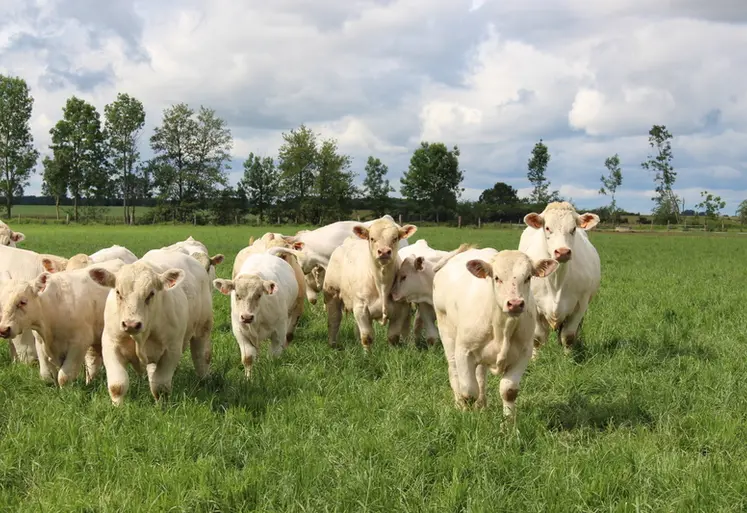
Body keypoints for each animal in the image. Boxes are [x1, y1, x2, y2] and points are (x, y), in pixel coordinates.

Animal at [88, 250, 214, 405]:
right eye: (118, 292)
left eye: (151, 294)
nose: (131, 324)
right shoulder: (111, 345)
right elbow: (117, 385)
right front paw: (117, 406)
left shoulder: (172, 350)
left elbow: (160, 386)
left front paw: (162, 406)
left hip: (203, 328)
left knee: (202, 356)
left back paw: (204, 380)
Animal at [323, 218, 417, 351]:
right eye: (372, 238)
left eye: (395, 238)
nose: (384, 252)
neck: (382, 284)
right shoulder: (361, 308)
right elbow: (367, 337)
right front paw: (367, 354)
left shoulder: (401, 309)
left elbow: (393, 337)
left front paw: (393, 352)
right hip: (332, 294)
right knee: (334, 320)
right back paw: (333, 345)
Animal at [432, 248, 558, 416]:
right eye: (497, 278)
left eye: (528, 277)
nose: (515, 304)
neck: (502, 328)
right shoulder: (464, 351)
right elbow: (469, 391)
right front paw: (467, 415)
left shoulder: (524, 353)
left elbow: (508, 391)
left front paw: (509, 421)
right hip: (446, 331)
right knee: (453, 370)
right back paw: (459, 404)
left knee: (480, 374)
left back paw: (482, 404)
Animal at [518, 201, 601, 356]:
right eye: (547, 228)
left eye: (573, 228)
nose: (562, 252)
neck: (557, 281)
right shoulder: (534, 305)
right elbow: (537, 337)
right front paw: (535, 357)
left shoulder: (580, 304)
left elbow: (568, 336)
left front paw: (568, 358)